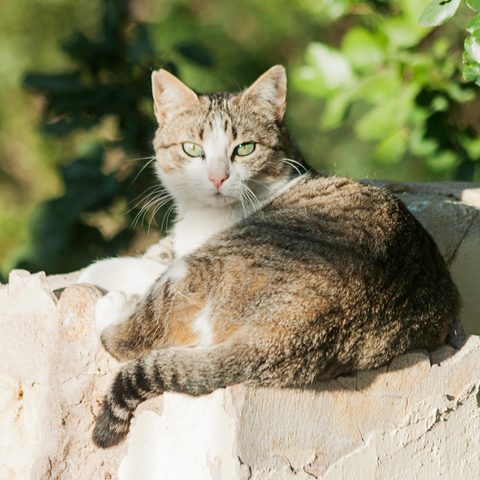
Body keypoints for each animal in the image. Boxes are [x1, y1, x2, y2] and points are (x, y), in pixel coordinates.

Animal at [88, 66, 460, 450]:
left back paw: (113, 305)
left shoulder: (187, 258)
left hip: (198, 270)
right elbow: (157, 253)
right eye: (192, 150)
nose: (217, 178)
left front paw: (102, 271)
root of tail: (287, 335)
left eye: (244, 149)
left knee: (128, 337)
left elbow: (145, 273)